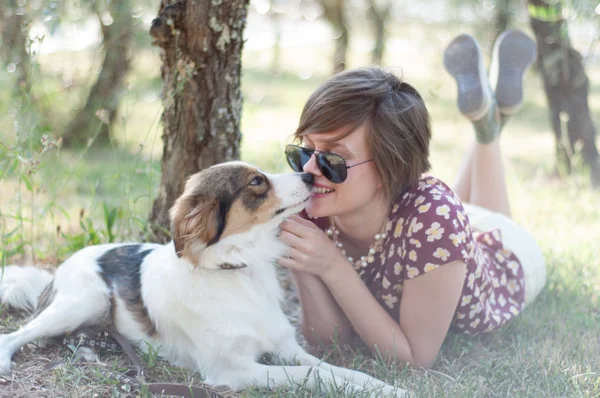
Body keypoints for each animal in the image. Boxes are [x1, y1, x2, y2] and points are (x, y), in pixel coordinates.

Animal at [0, 161, 406, 394]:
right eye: (257, 181)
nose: (309, 175)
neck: (238, 270)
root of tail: (63, 266)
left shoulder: (288, 347)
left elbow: (338, 370)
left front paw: (389, 388)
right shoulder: (231, 368)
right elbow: (317, 376)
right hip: (87, 300)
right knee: (17, 334)